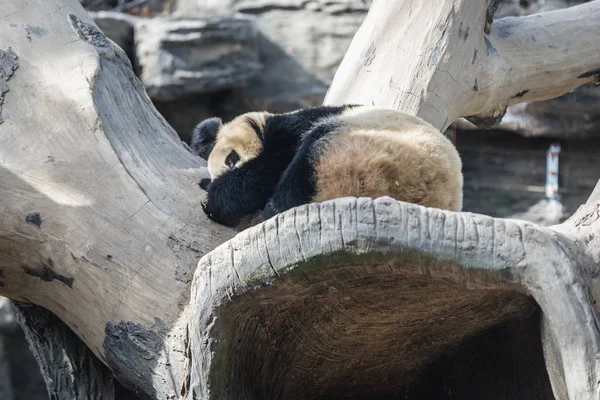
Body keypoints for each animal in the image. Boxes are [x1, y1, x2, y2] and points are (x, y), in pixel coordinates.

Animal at [190, 104, 462, 227]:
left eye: (231, 159)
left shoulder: (290, 132)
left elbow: (267, 168)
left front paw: (216, 200)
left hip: (362, 153)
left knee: (307, 164)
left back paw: (272, 209)